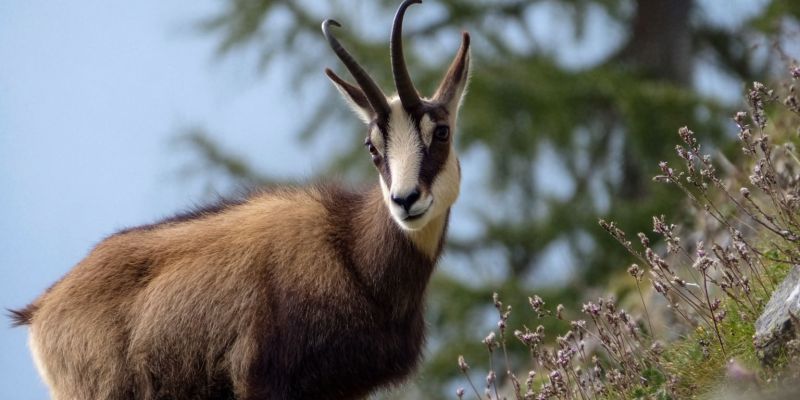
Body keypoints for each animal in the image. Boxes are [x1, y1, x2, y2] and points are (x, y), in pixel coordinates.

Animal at [10, 0, 470, 398]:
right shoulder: (259, 376)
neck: (351, 250)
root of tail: (40, 309)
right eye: (372, 147)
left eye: (441, 131)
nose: (405, 200)